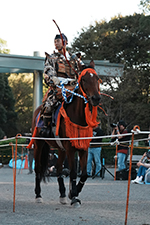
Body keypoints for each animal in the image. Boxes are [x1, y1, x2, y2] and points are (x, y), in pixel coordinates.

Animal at [28, 64, 101, 207]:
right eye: (84, 79)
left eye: (97, 78)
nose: (96, 98)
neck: (78, 117)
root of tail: (38, 110)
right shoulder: (70, 148)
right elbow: (73, 173)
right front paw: (74, 197)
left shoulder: (83, 148)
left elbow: (84, 174)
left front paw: (72, 193)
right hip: (39, 144)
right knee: (38, 168)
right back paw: (38, 195)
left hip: (61, 148)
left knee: (59, 169)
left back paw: (62, 195)